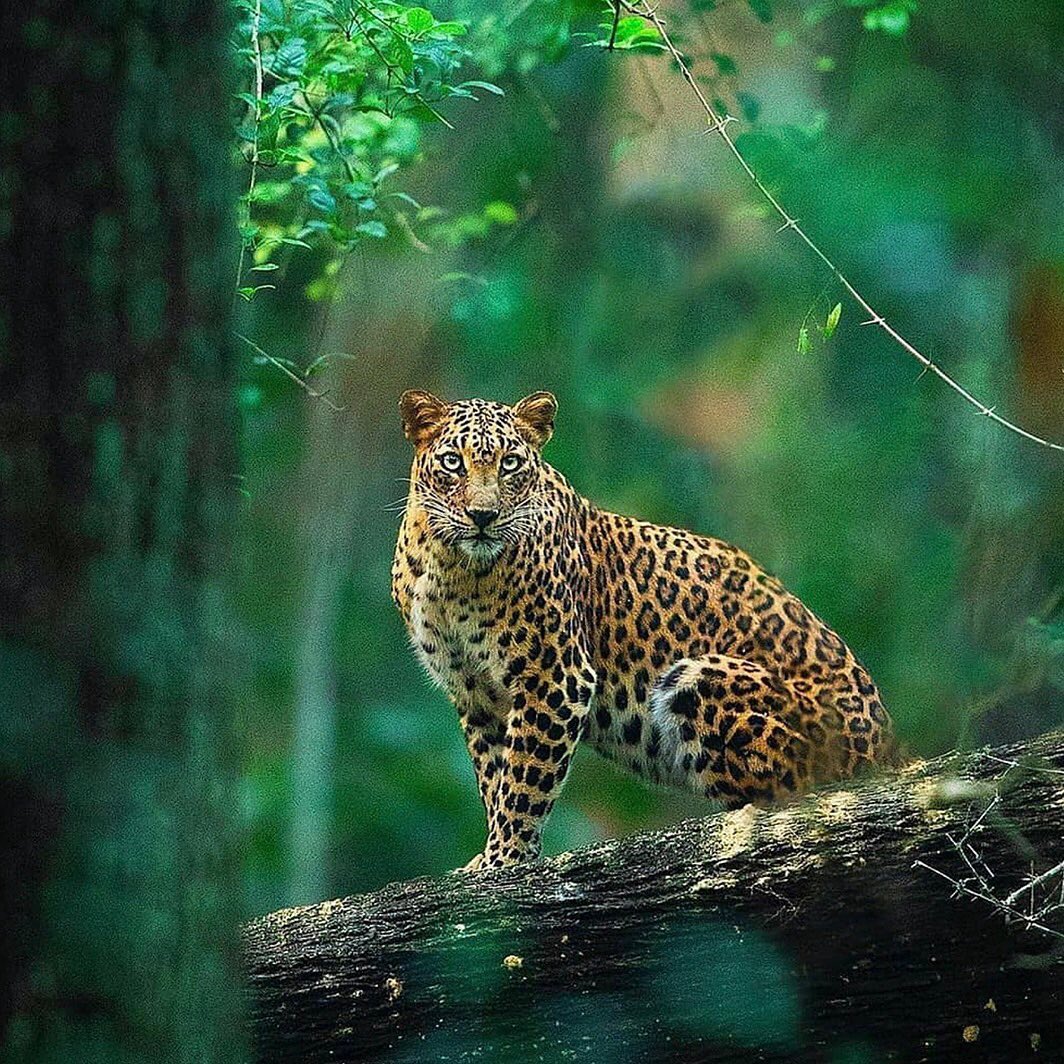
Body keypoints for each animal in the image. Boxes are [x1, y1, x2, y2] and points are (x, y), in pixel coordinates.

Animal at [391, 390, 897, 870]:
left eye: (510, 463)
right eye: (453, 463)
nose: (483, 515)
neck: (451, 566)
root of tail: (888, 747)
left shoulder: (556, 677)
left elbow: (524, 779)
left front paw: (505, 859)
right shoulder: (475, 694)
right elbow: (495, 778)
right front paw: (492, 854)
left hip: (699, 676)